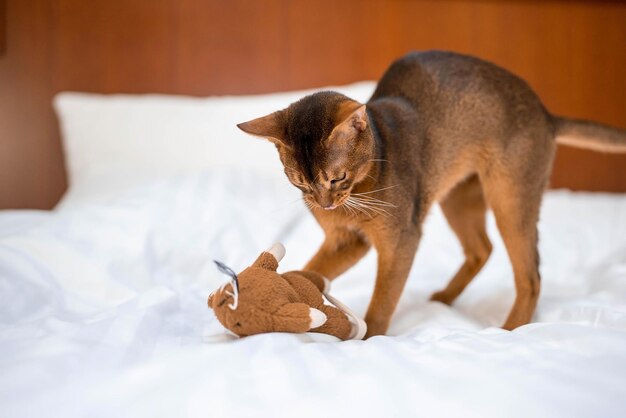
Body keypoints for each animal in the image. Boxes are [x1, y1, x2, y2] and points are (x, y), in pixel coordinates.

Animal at [235, 50, 624, 338]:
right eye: (300, 183)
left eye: (337, 178)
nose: (324, 204)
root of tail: (545, 113)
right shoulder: (348, 241)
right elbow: (311, 269)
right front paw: (280, 285)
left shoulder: (401, 239)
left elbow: (384, 300)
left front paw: (370, 338)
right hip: (459, 196)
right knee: (482, 249)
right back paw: (445, 298)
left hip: (510, 198)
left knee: (530, 276)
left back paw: (510, 330)